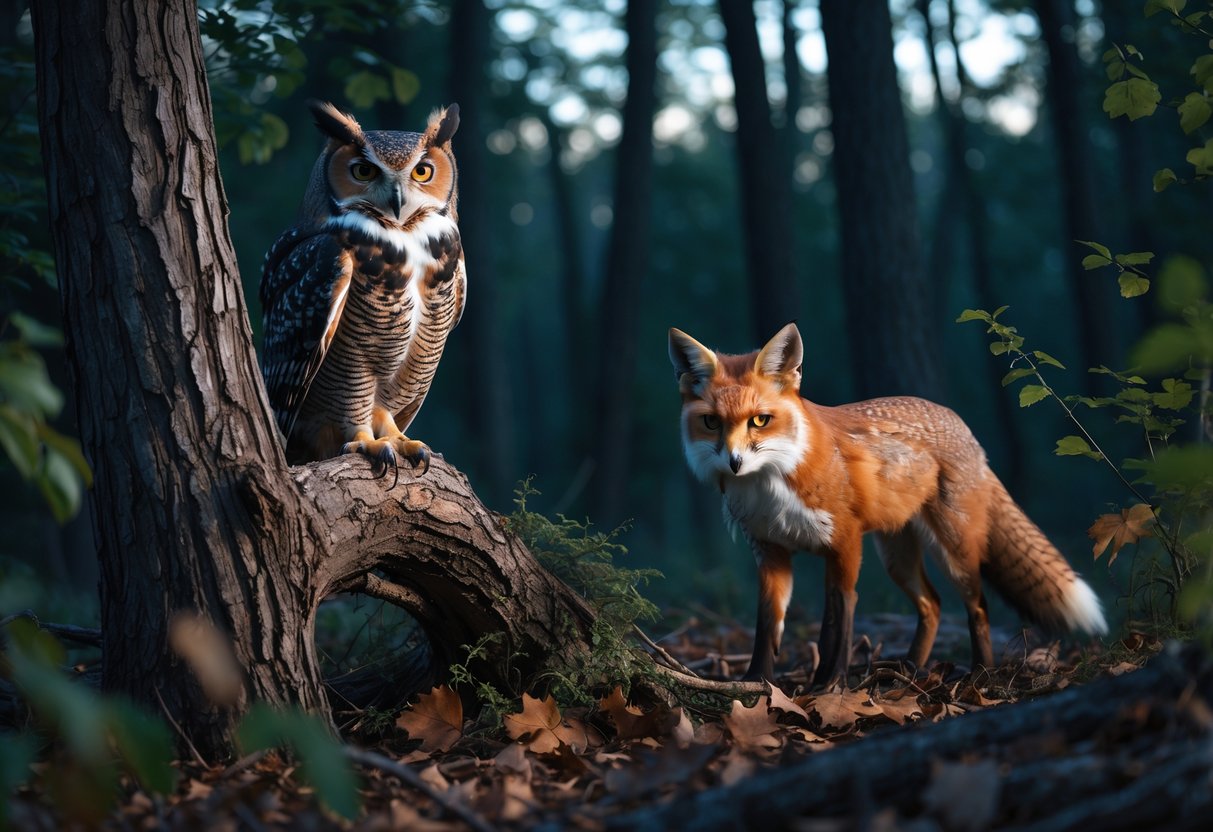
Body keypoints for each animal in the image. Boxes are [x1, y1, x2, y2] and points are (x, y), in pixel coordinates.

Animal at [669, 323, 1108, 688]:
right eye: (712, 422)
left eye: (760, 421)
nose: (734, 462)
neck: (770, 483)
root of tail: (961, 425)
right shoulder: (770, 551)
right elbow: (766, 626)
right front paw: (755, 683)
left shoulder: (844, 543)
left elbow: (838, 622)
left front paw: (829, 685)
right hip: (897, 557)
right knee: (932, 604)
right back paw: (910, 668)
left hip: (953, 551)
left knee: (978, 605)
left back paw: (980, 673)